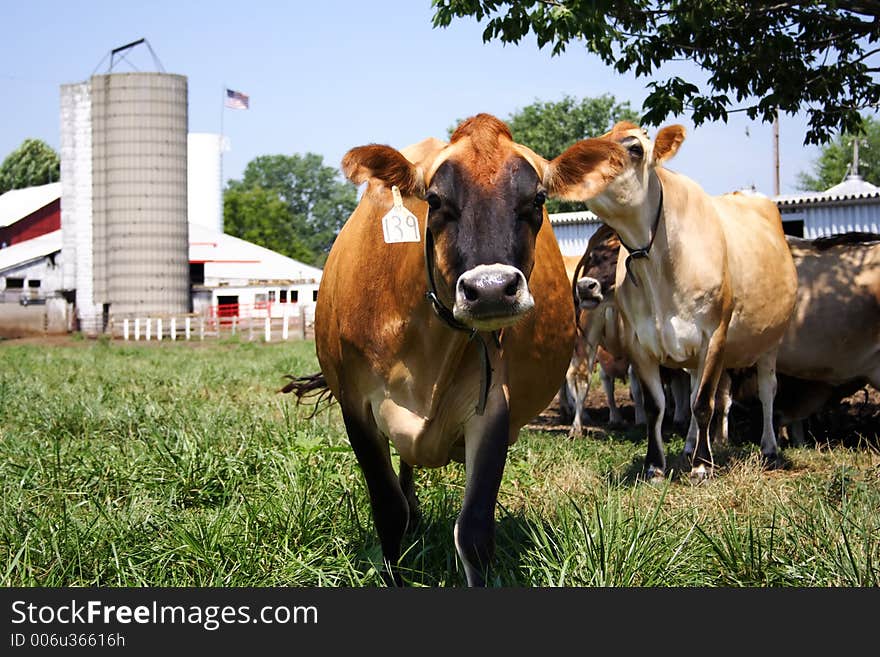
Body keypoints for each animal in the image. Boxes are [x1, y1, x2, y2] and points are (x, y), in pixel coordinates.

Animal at [286, 115, 576, 588]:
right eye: (435, 200)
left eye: (537, 199)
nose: (491, 289)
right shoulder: (355, 406)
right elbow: (388, 513)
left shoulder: (492, 404)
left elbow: (474, 532)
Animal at [544, 121, 796, 476]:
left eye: (635, 148)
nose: (586, 287)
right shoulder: (639, 343)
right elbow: (656, 406)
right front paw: (655, 467)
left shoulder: (714, 338)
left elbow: (704, 403)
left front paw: (702, 466)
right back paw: (687, 445)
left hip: (770, 340)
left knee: (766, 391)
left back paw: (769, 449)